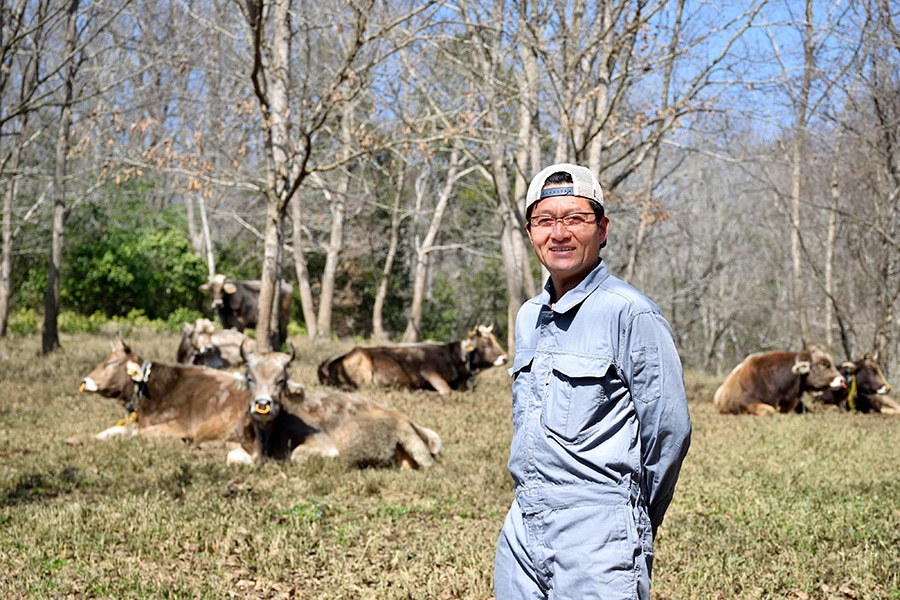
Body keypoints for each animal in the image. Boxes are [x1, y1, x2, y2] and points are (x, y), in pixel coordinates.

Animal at [225, 346, 442, 468]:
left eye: (281, 380)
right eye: (250, 378)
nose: (263, 404)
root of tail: (406, 418)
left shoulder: (323, 447)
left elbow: (297, 455)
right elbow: (232, 457)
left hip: (412, 441)